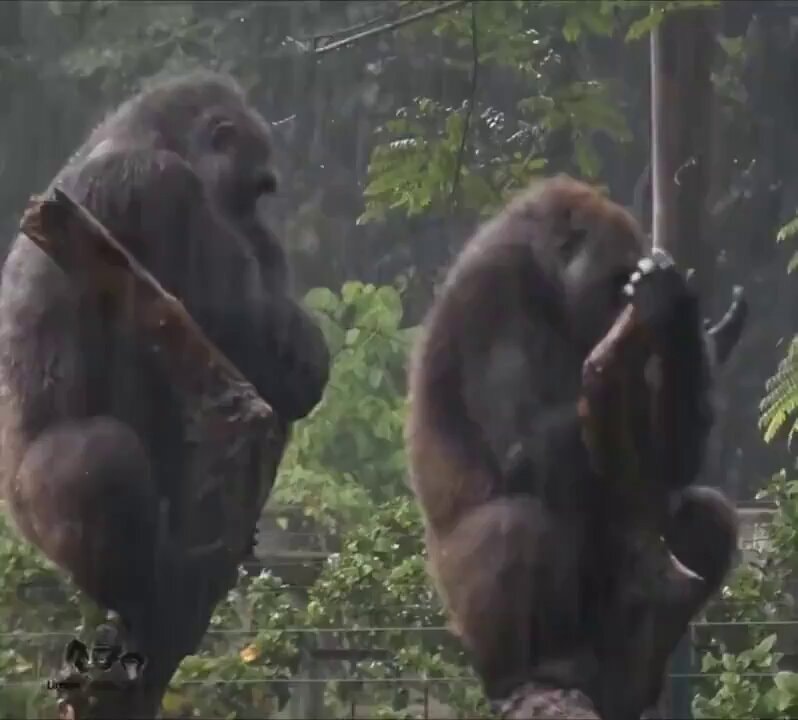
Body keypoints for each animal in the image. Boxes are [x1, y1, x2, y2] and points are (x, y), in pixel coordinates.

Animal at [0, 71, 330, 690]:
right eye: (255, 189)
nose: (260, 228)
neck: (144, 130)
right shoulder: (156, 185)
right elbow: (248, 333)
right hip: (30, 510)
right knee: (96, 455)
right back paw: (138, 590)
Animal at [405, 175, 741, 718]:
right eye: (615, 282)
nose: (623, 315)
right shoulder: (492, 294)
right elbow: (522, 449)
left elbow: (670, 466)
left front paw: (680, 324)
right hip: (459, 609)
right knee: (517, 524)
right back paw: (524, 671)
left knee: (702, 517)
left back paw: (630, 677)